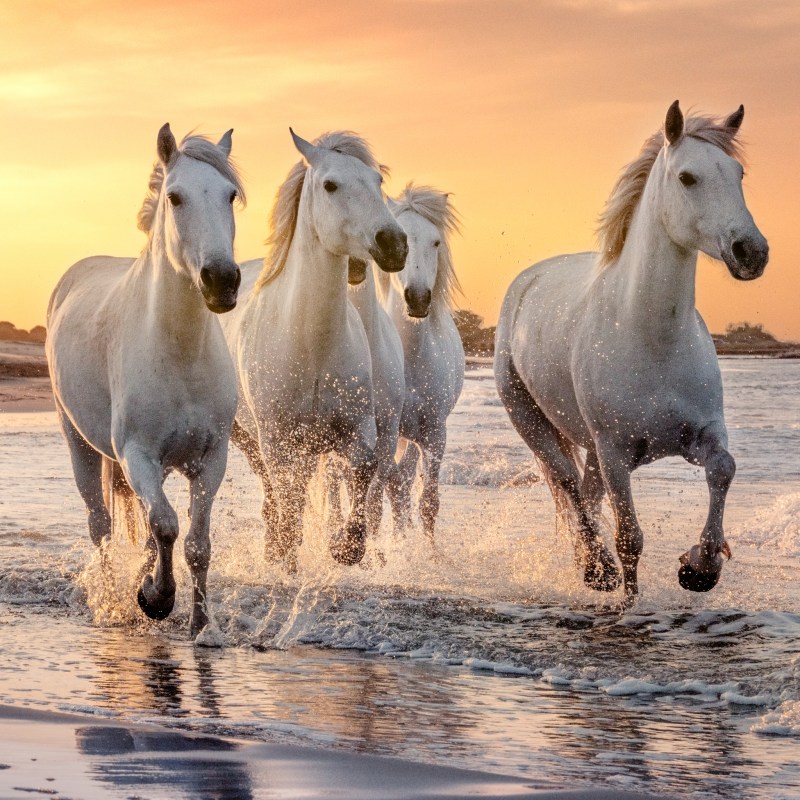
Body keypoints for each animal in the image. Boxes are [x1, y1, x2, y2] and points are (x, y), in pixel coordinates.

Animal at [47, 126, 245, 636]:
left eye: (230, 195)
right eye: (175, 197)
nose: (222, 280)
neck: (180, 352)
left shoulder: (210, 459)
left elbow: (195, 543)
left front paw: (201, 625)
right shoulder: (137, 454)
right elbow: (167, 526)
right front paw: (156, 598)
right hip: (79, 443)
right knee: (100, 525)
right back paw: (114, 602)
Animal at [220, 130, 406, 568]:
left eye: (377, 181)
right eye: (330, 185)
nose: (394, 243)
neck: (312, 347)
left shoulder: (359, 429)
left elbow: (363, 471)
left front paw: (346, 547)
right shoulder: (277, 439)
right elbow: (288, 500)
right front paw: (287, 552)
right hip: (248, 436)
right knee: (274, 491)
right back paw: (275, 548)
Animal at [494, 101, 768, 600]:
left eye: (738, 173)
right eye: (687, 177)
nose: (751, 252)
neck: (652, 339)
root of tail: (526, 281)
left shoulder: (701, 434)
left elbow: (724, 469)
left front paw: (700, 567)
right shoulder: (616, 453)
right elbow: (630, 539)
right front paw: (630, 598)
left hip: (591, 448)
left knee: (586, 493)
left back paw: (588, 565)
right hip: (532, 420)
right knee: (568, 484)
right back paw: (596, 569)